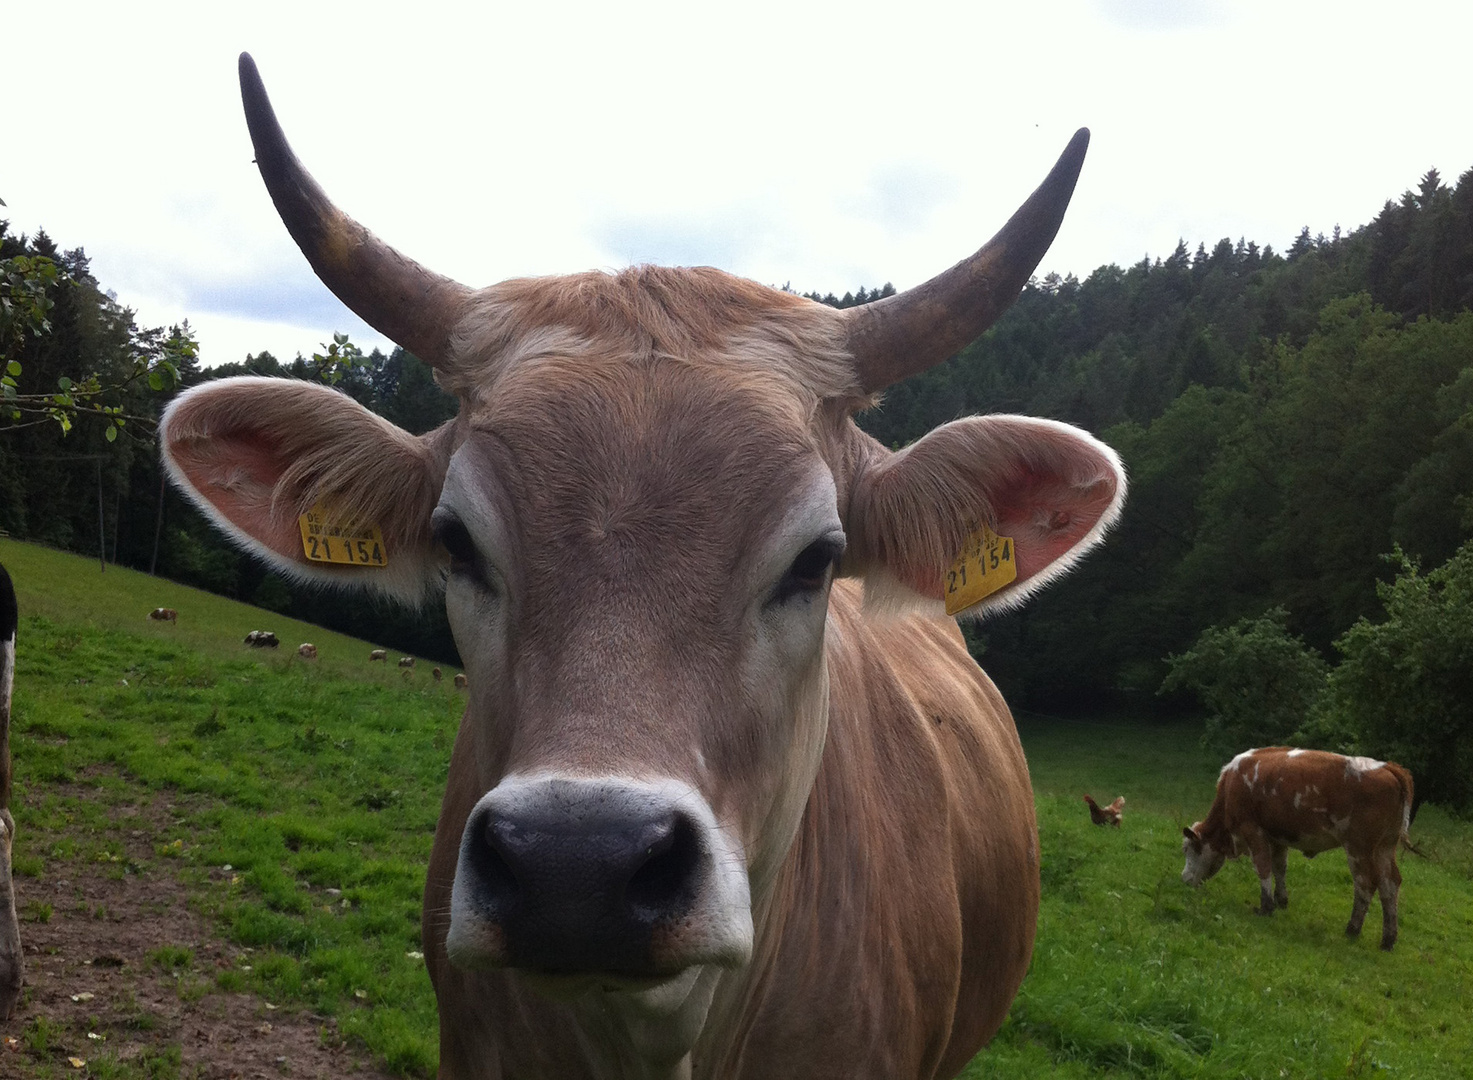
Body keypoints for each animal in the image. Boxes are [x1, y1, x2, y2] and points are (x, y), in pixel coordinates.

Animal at [1178, 745, 1408, 948]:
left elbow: (1263, 868)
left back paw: (1353, 929)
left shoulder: (1253, 831)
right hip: (1384, 847)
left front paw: (1266, 907)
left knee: (1365, 884)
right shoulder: (1277, 838)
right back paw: (1388, 939)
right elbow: (1280, 868)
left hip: (1359, 848)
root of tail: (1387, 767)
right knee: (1390, 884)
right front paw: (1281, 900)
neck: (1232, 783)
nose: (1184, 879)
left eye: (1190, 849)